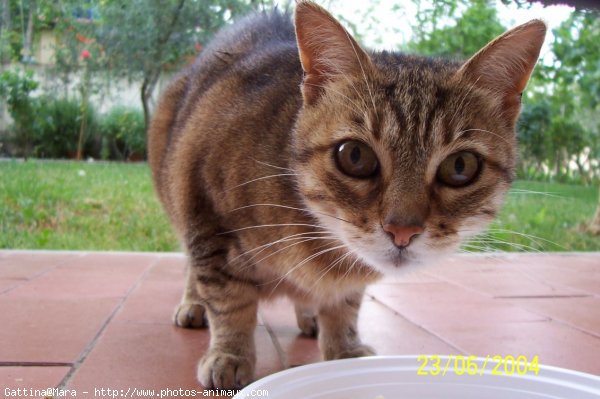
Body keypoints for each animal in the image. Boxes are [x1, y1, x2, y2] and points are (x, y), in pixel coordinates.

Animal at [148, 0, 548, 390]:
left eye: (461, 166)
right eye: (355, 156)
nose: (403, 230)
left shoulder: (349, 282)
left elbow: (344, 306)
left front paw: (343, 350)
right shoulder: (206, 219)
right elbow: (229, 302)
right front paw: (230, 354)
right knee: (193, 269)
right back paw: (194, 305)